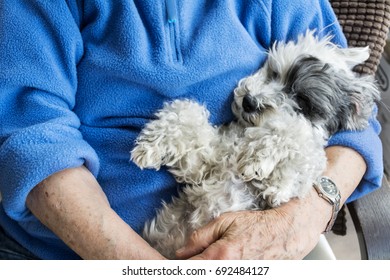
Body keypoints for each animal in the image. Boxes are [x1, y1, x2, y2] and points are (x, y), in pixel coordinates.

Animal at [130, 31, 378, 258]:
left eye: (302, 99)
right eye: (275, 73)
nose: (249, 102)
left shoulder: (292, 181)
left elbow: (297, 137)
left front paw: (260, 161)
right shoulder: (202, 165)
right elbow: (185, 112)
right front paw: (151, 145)